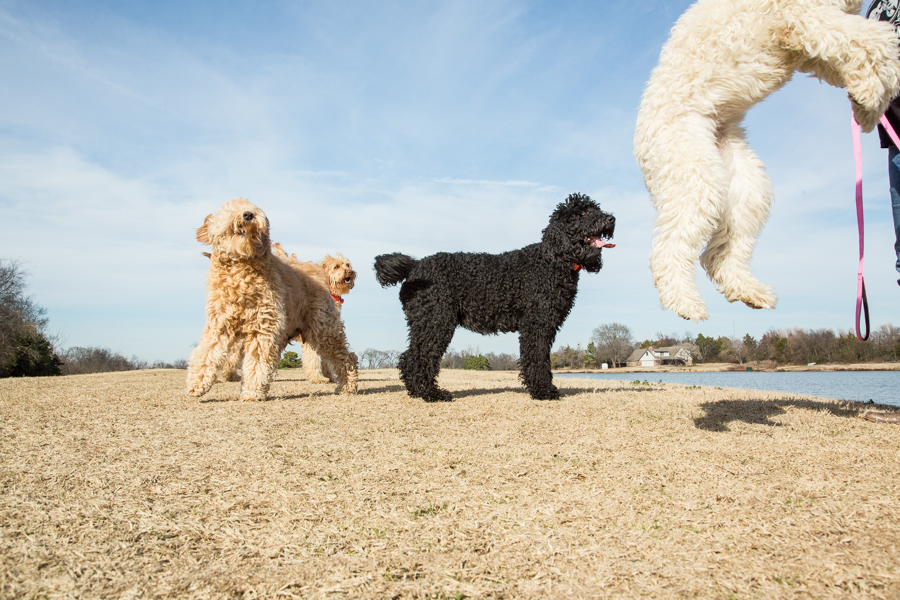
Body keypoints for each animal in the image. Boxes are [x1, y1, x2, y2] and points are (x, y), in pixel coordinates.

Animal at [272, 244, 356, 384]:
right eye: (336, 266)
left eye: (347, 265)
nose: (350, 272)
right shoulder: (312, 335)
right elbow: (314, 359)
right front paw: (318, 378)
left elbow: (325, 360)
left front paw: (329, 376)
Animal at [370, 195, 612, 400]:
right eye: (582, 213)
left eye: (596, 209)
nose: (611, 219)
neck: (553, 259)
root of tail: (415, 266)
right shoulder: (537, 323)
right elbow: (537, 358)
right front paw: (544, 391)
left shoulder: (546, 323)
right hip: (435, 321)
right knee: (418, 358)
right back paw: (431, 393)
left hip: (426, 323)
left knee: (410, 358)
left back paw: (418, 391)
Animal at [632, 0, 900, 322]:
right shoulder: (804, 17)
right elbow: (875, 38)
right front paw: (872, 95)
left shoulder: (806, 42)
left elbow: (850, 50)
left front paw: (865, 104)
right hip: (696, 176)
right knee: (669, 248)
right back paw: (684, 302)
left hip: (746, 189)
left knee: (720, 254)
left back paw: (748, 291)